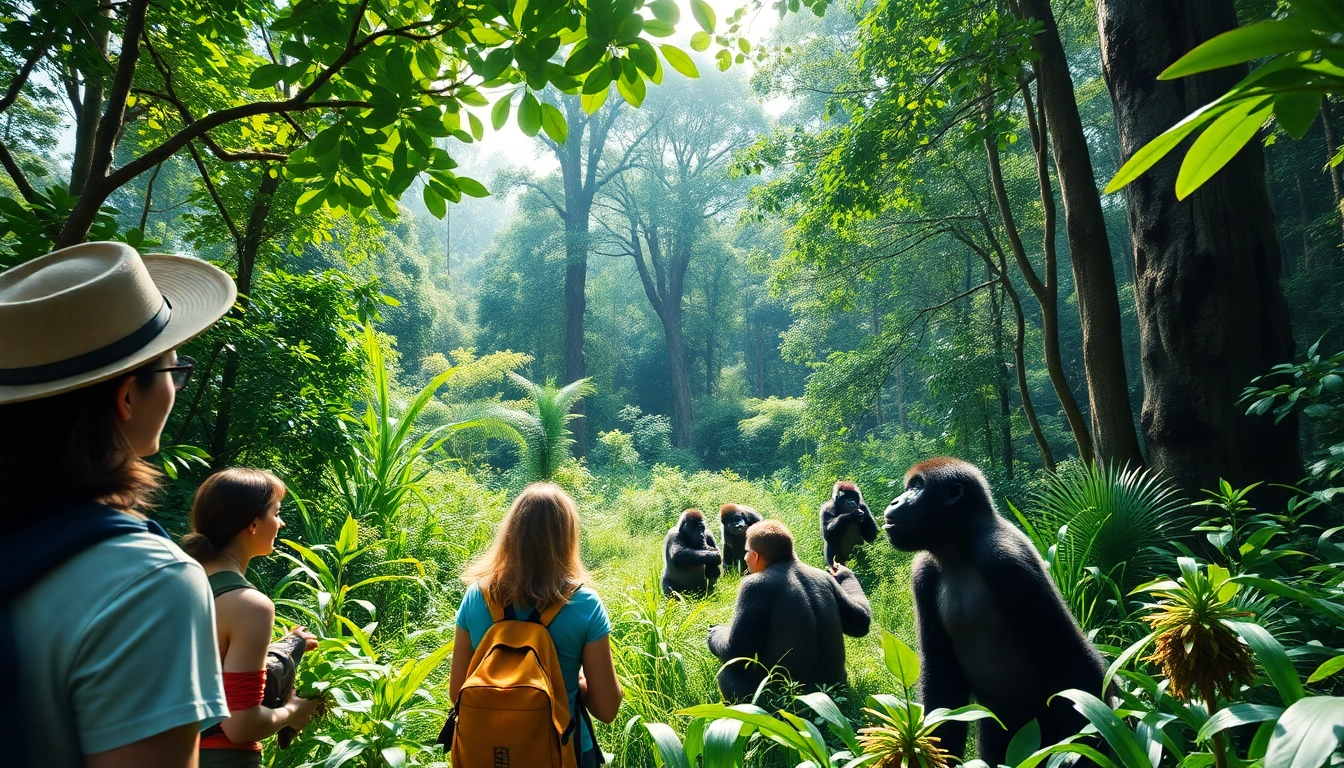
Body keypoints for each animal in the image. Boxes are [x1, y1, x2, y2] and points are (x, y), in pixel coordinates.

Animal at [882, 457, 1106, 765]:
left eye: (917, 487)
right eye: (909, 487)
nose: (894, 502)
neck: (960, 546)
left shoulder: (1004, 560)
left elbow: (1071, 656)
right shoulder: (923, 572)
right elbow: (943, 688)